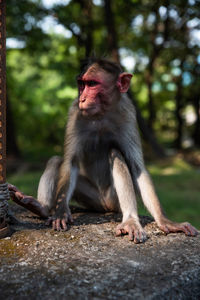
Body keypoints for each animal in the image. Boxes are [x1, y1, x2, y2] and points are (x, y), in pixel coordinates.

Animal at [35, 57, 197, 243]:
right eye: (82, 84)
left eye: (92, 84)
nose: (82, 98)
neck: (102, 113)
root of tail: (105, 206)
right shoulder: (75, 113)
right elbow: (70, 161)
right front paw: (61, 212)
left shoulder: (128, 112)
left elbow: (137, 168)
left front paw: (165, 220)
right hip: (93, 199)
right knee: (55, 161)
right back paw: (41, 207)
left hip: (113, 200)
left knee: (115, 153)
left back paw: (130, 220)